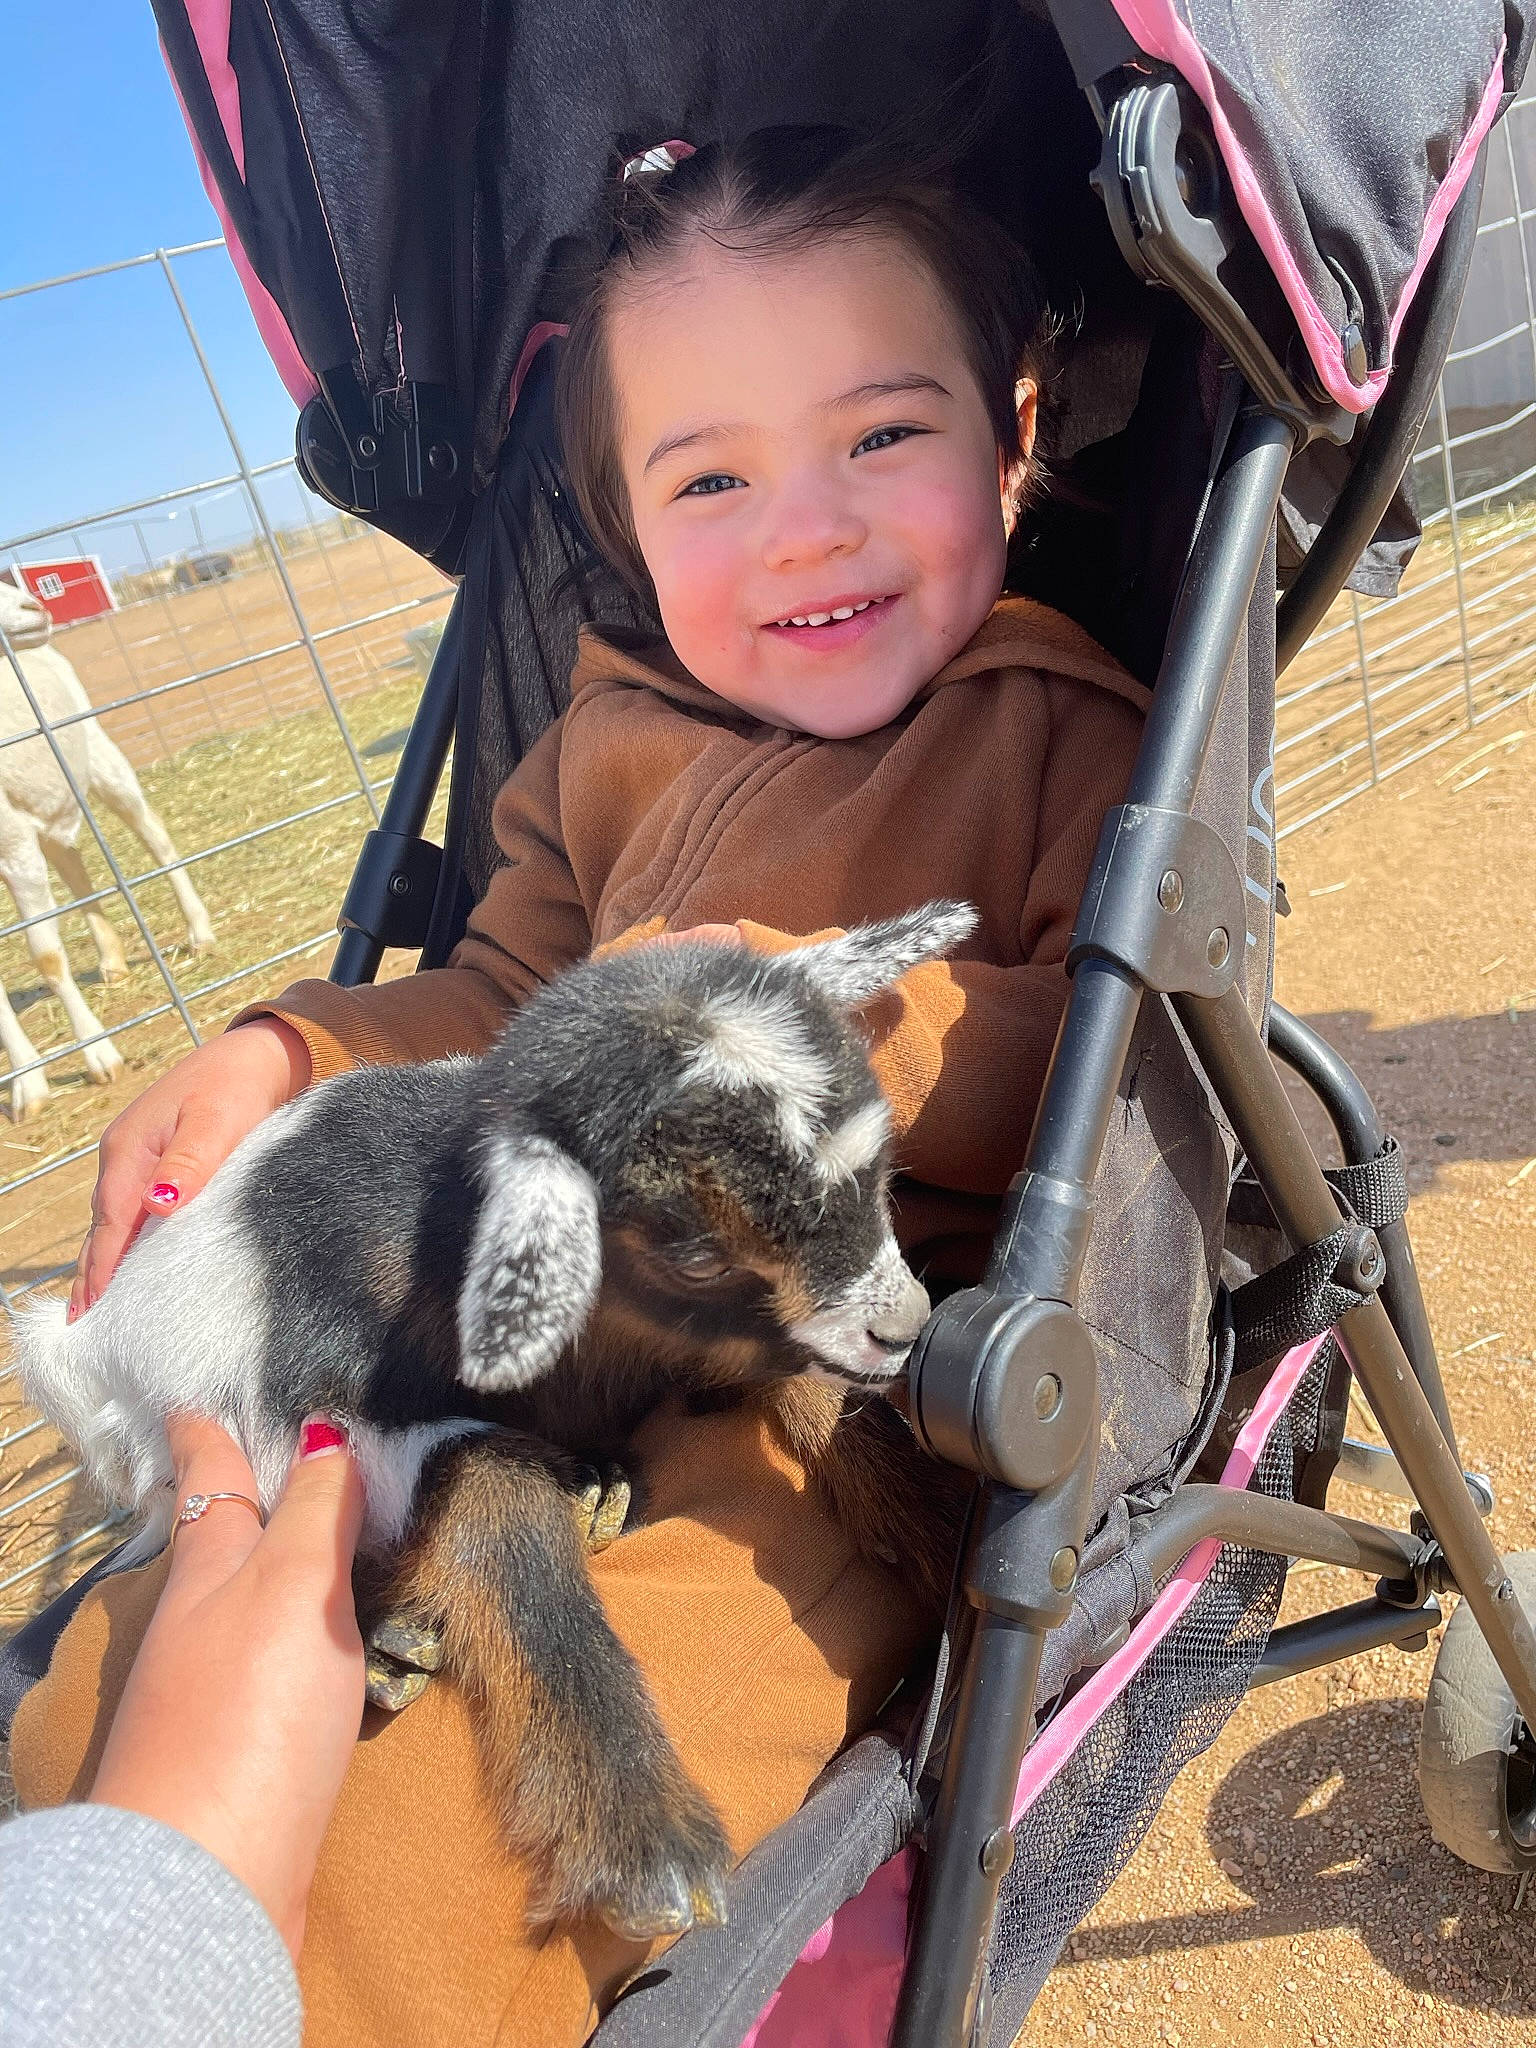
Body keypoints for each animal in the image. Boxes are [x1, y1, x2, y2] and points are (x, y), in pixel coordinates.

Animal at [0, 580, 215, 1120]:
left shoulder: (12, 840)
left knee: (154, 835)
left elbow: (46, 955)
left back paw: (199, 931)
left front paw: (98, 1055)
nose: (36, 607)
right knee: (75, 866)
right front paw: (26, 1085)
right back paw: (112, 960)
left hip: (98, 756)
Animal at [16, 902, 976, 1937]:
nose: (908, 1329)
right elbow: (488, 1482)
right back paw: (397, 1638)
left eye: (881, 1171)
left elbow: (812, 1388)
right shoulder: (319, 1416)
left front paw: (947, 1551)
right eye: (696, 1251)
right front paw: (645, 1842)